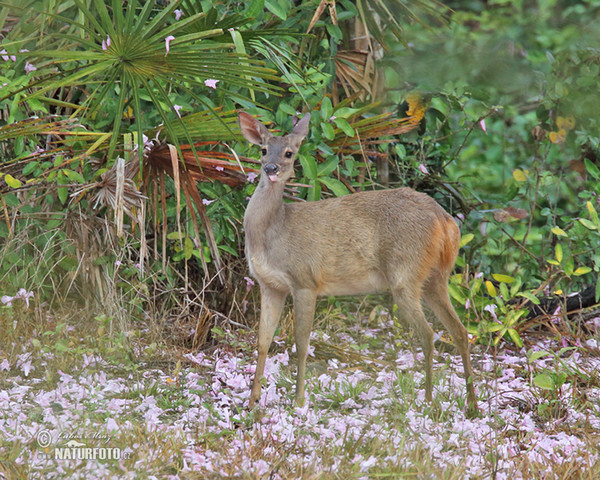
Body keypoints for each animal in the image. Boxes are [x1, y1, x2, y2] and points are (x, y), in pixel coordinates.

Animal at [239, 110, 478, 414]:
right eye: (263, 150)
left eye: (290, 153)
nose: (271, 169)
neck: (274, 230)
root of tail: (446, 221)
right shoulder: (270, 285)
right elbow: (263, 341)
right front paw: (252, 401)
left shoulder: (305, 280)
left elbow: (301, 343)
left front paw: (299, 400)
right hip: (435, 276)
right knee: (460, 331)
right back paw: (471, 404)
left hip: (405, 272)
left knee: (428, 333)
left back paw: (427, 400)